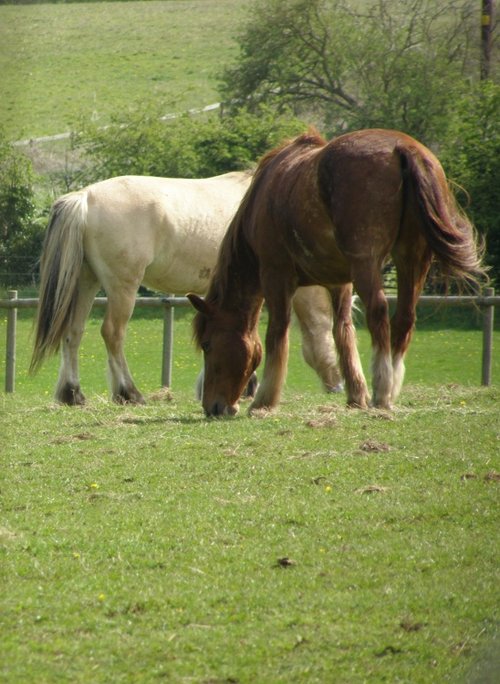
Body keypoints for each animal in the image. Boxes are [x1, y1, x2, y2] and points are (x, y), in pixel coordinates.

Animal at [30, 172, 343, 405]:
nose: (337, 386)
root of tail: (85, 197)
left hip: (86, 282)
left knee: (73, 332)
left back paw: (72, 394)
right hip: (122, 287)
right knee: (112, 334)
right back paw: (129, 393)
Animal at [188, 128, 486, 417]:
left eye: (207, 344)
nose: (213, 407)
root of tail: (403, 147)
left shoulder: (276, 275)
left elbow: (277, 334)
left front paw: (264, 401)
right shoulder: (339, 283)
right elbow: (343, 332)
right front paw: (356, 395)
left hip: (367, 262)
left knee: (379, 313)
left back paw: (382, 390)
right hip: (412, 258)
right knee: (404, 318)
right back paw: (390, 386)